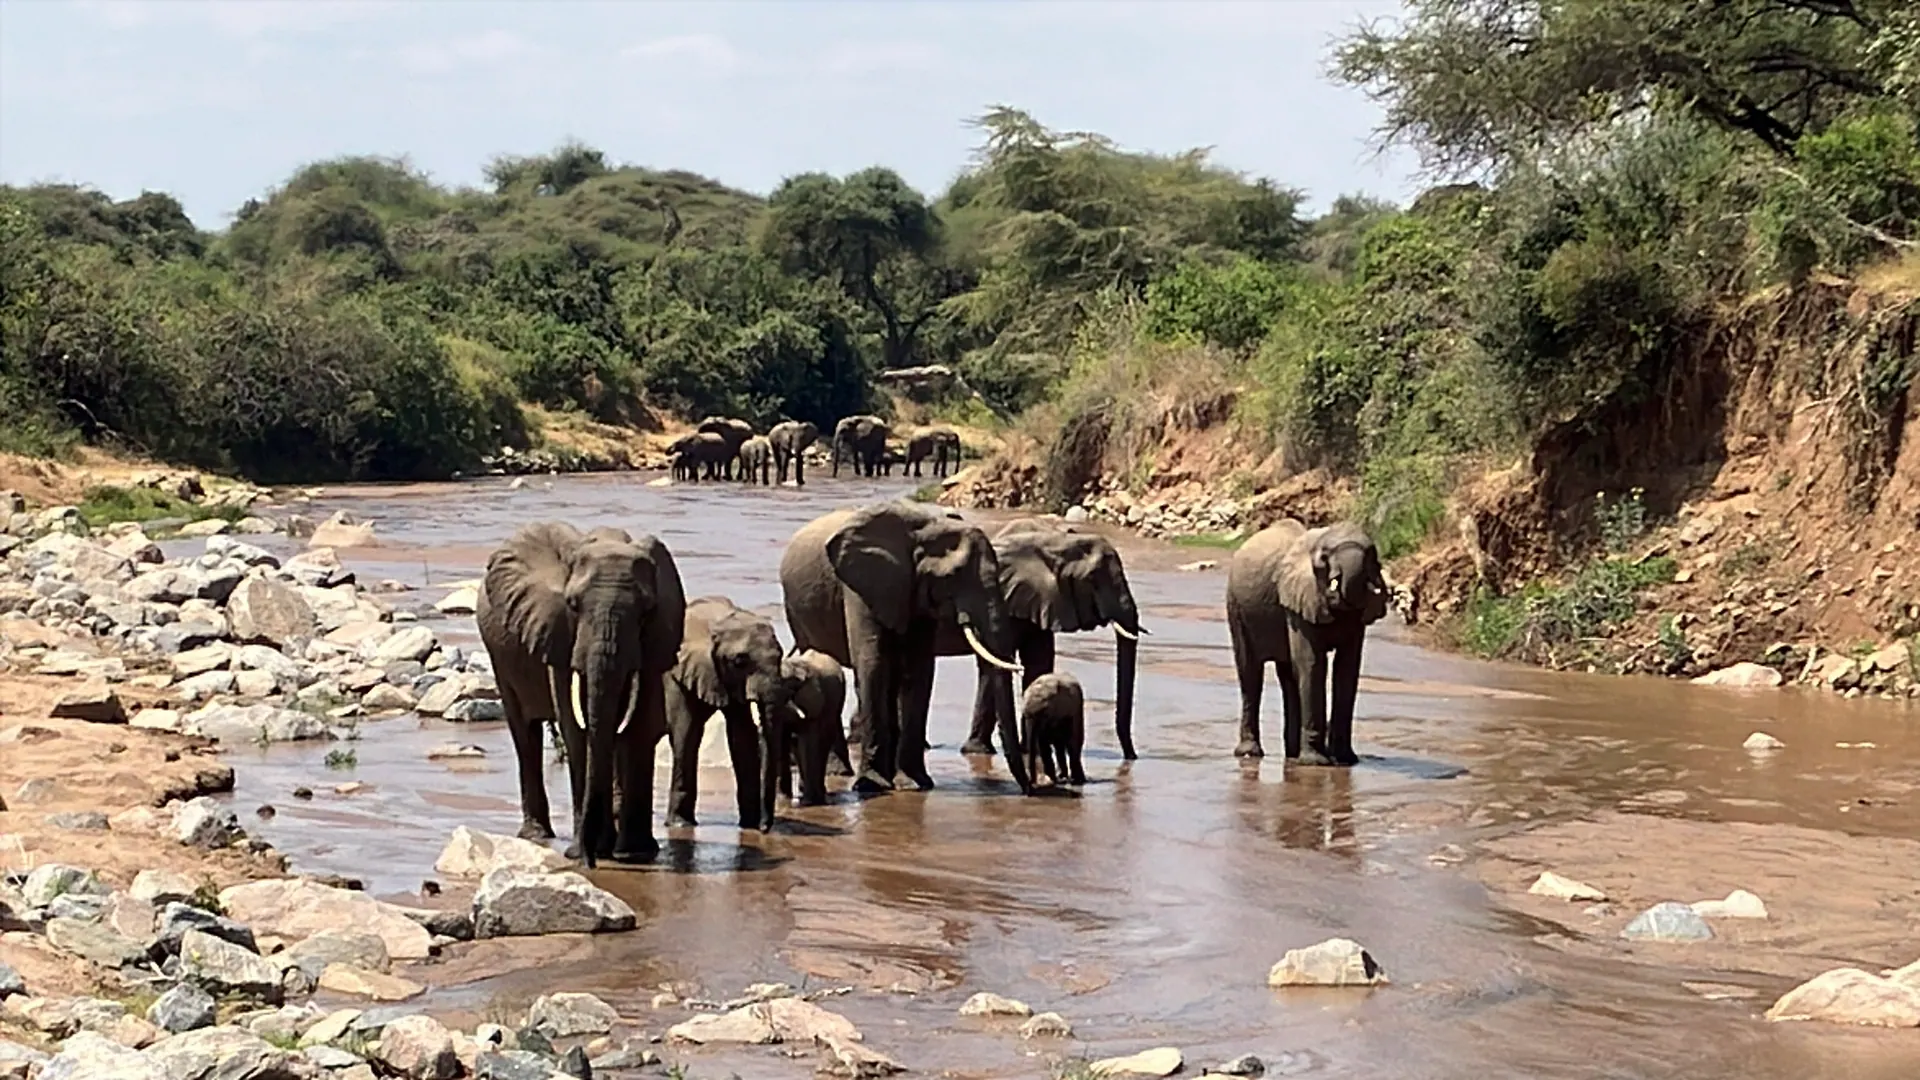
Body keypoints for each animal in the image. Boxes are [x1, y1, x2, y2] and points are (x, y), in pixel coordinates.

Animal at [476, 522, 686, 867]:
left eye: (646, 612)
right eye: (572, 605)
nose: (589, 860)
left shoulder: (657, 639)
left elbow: (637, 726)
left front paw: (633, 854)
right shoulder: (556, 632)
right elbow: (575, 728)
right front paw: (586, 851)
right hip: (499, 658)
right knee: (525, 733)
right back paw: (537, 835)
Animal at [662, 596, 793, 832]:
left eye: (780, 656)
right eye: (739, 661)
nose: (765, 827)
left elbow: (741, 734)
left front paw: (749, 824)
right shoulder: (674, 673)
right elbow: (685, 732)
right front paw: (680, 825)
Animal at [780, 500, 1030, 795]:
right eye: (952, 577)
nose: (1030, 790)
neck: (925, 530)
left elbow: (918, 669)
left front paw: (914, 784)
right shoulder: (863, 586)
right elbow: (873, 663)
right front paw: (871, 785)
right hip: (798, 616)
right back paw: (845, 774)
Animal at [951, 518, 1143, 764]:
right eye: (1092, 581)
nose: (1131, 758)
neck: (1054, 541)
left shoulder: (1039, 601)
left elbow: (1037, 664)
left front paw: (1028, 749)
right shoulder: (1007, 601)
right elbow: (997, 663)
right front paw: (980, 752)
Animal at [1225, 518, 1389, 765]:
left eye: (1372, 554)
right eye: (1324, 557)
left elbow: (1347, 668)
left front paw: (1345, 760)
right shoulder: (1297, 600)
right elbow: (1312, 663)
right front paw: (1316, 763)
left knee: (1288, 676)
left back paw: (1292, 754)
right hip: (1236, 607)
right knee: (1251, 673)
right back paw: (1250, 753)